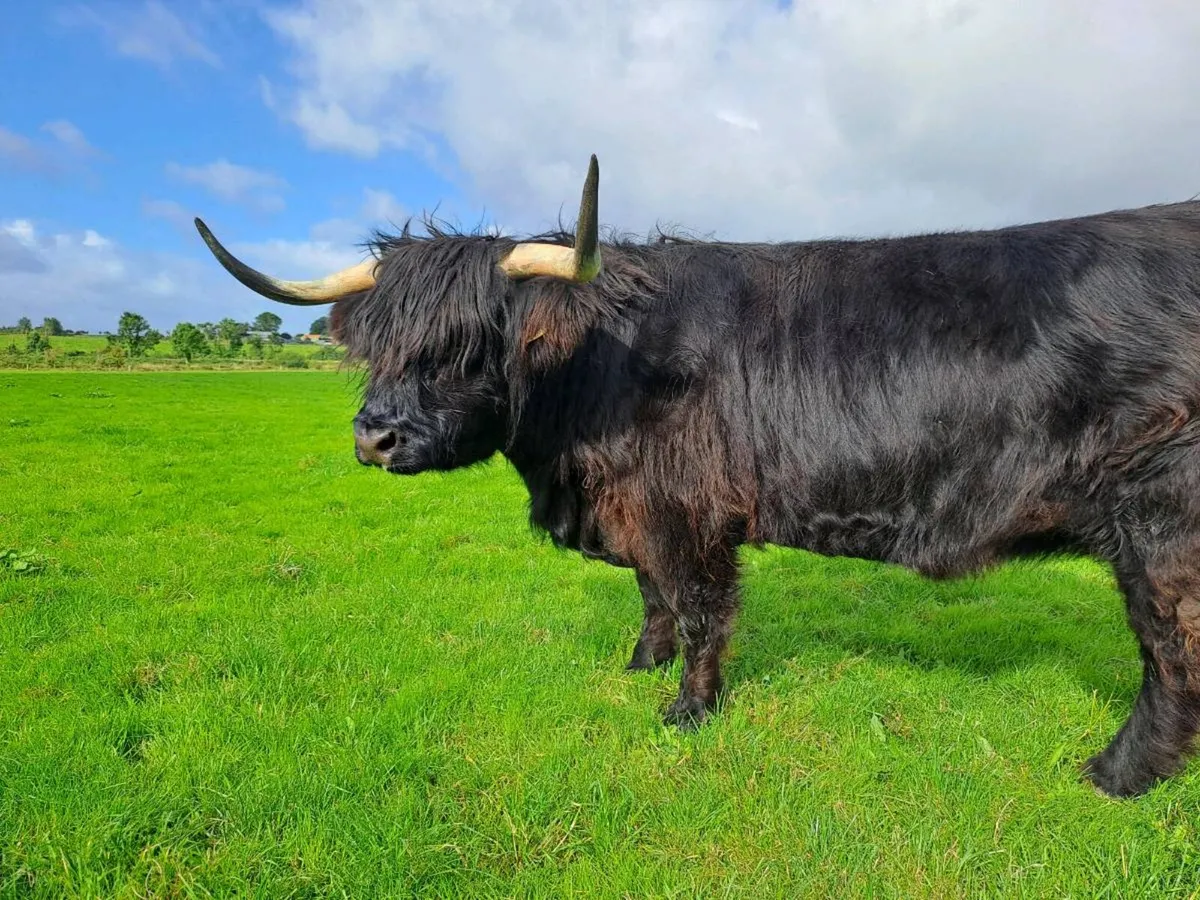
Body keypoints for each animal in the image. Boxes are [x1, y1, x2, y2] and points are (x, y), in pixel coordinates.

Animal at [195, 155, 1200, 797]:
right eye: (376, 348)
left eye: (467, 343)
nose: (377, 438)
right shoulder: (636, 508)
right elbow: (651, 597)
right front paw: (639, 666)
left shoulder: (689, 508)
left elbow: (698, 608)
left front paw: (687, 710)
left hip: (1161, 523)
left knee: (1169, 652)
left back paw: (1114, 777)